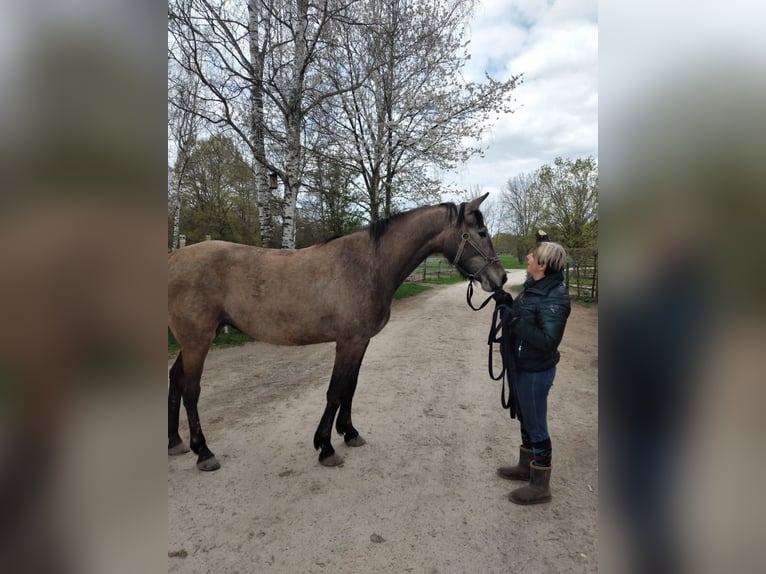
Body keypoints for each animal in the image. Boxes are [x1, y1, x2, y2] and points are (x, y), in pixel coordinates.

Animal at [171, 194, 512, 472]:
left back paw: (175, 442)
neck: (367, 265)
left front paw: (349, 433)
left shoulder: (361, 342)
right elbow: (335, 391)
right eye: (482, 233)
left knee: (175, 381)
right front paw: (325, 447)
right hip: (197, 340)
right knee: (191, 390)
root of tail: (174, 259)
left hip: (197, 340)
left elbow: (350, 387)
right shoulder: (348, 342)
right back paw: (204, 453)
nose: (501, 278)